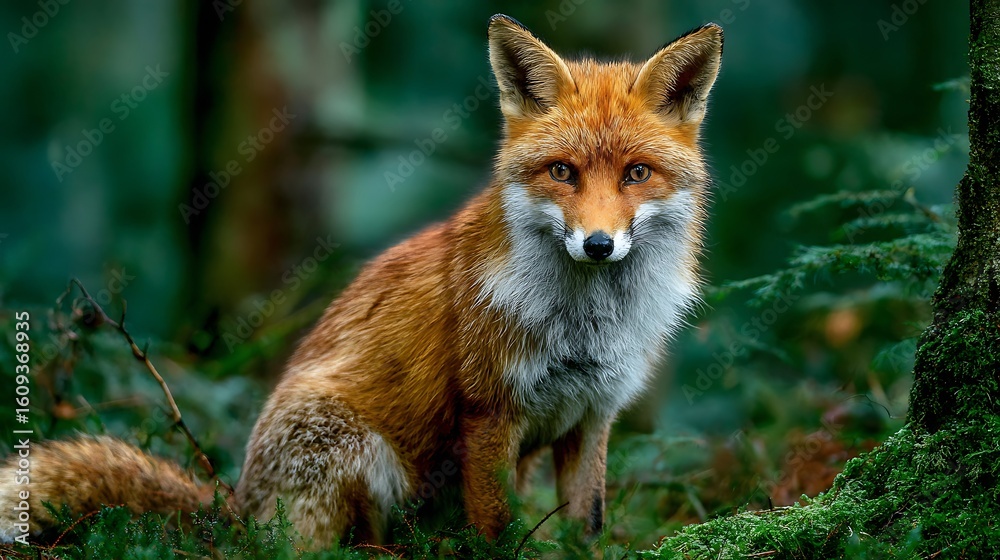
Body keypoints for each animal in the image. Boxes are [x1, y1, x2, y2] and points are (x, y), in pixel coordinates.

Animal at [0, 14, 722, 548]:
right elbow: (496, 530)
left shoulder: (594, 418)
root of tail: (237, 508)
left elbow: (586, 530)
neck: (586, 328)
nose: (598, 245)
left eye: (635, 173)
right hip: (360, 452)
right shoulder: (490, 413)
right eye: (563, 172)